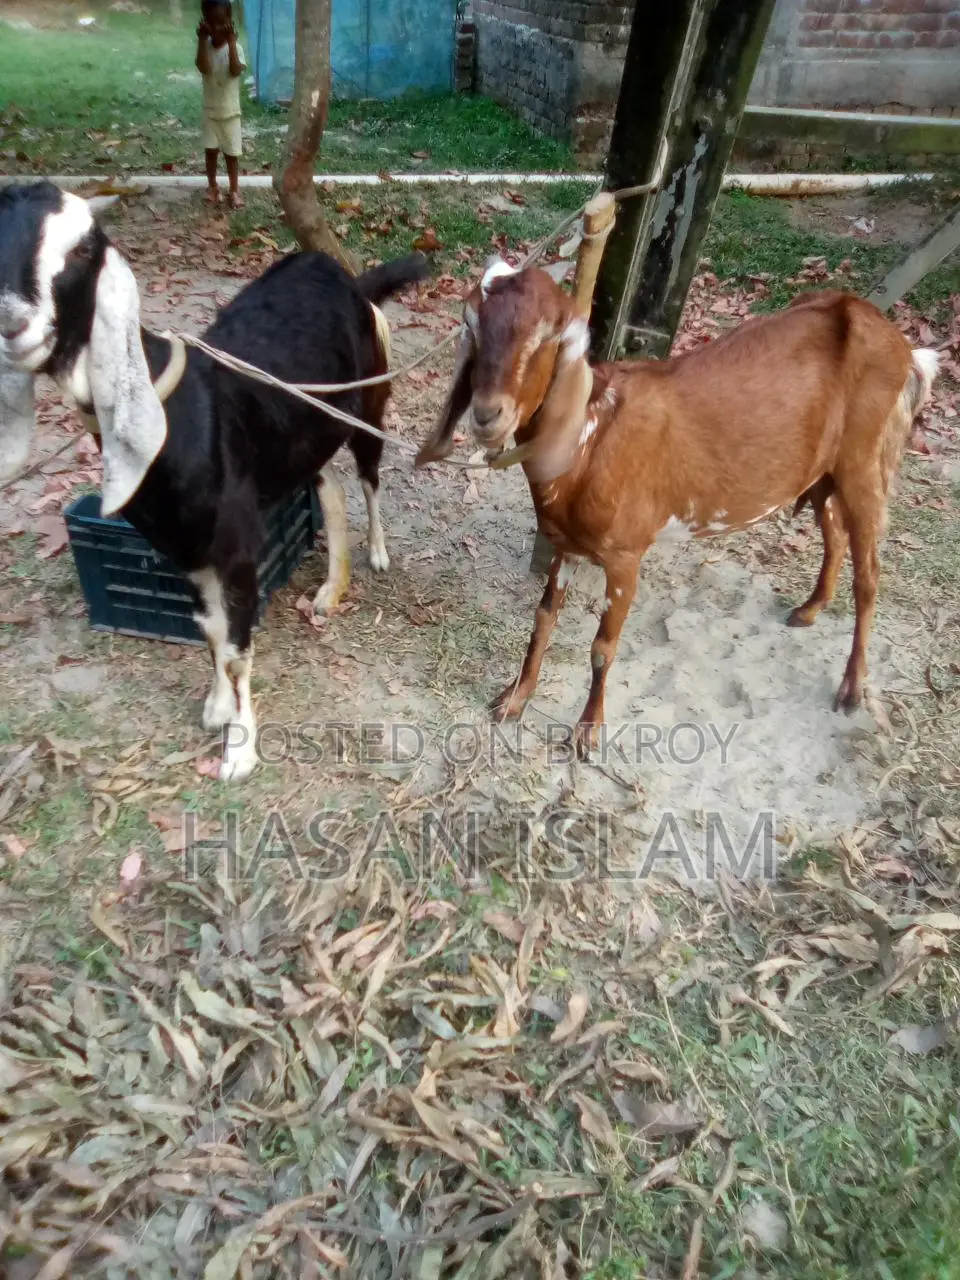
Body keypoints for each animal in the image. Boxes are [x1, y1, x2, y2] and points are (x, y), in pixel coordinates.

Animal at [0, 180, 429, 781]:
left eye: (83, 249)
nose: (14, 324)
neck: (175, 412)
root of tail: (351, 279)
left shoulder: (237, 547)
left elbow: (236, 648)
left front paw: (239, 750)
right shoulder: (185, 549)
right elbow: (210, 630)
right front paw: (217, 707)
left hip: (368, 400)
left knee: (369, 476)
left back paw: (378, 553)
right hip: (301, 435)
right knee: (331, 487)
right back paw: (329, 589)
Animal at [416, 260, 939, 757]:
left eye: (547, 335)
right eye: (473, 324)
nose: (487, 415)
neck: (590, 440)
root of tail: (901, 346)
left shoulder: (625, 555)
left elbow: (603, 647)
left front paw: (588, 732)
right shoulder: (567, 545)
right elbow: (542, 622)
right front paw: (514, 699)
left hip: (864, 459)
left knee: (869, 573)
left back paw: (851, 689)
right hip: (826, 469)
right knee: (834, 529)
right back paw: (810, 610)